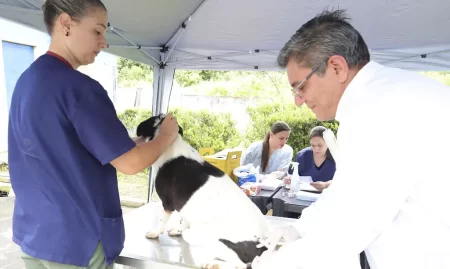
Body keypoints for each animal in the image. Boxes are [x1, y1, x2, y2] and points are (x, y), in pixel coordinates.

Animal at [135, 113, 268, 268]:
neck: (171, 143)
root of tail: (263, 245)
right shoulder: (185, 204)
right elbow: (184, 219)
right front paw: (178, 230)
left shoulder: (167, 204)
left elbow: (162, 220)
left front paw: (155, 232)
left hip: (215, 239)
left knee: (240, 264)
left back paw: (213, 264)